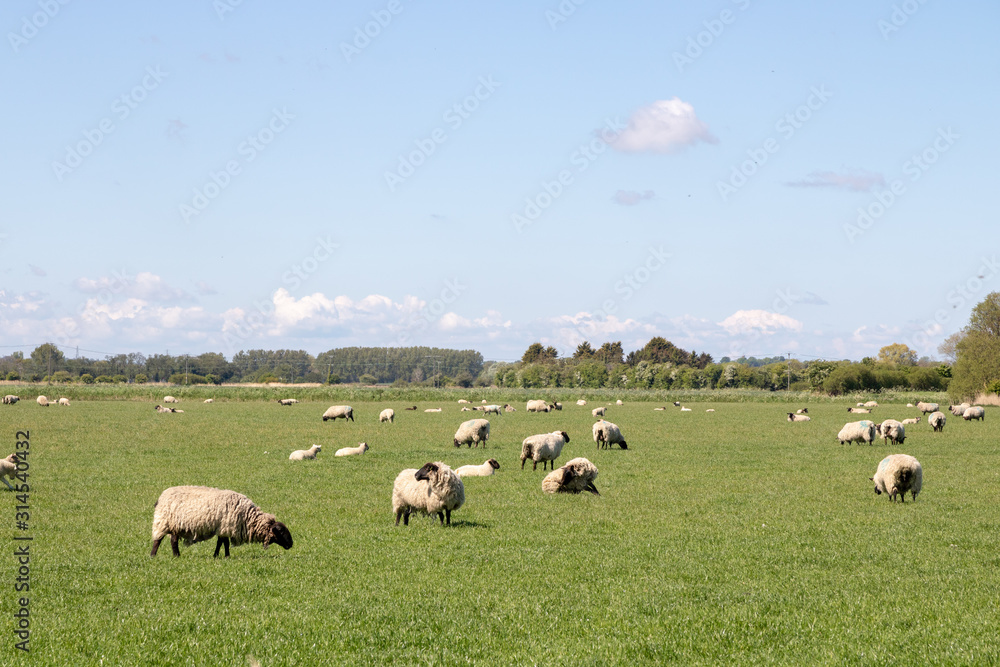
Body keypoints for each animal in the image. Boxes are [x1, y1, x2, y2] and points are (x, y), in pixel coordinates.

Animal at [150, 485, 293, 558]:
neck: (247, 516)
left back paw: (176, 555)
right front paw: (226, 556)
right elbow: (225, 543)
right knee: (158, 540)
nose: (291, 544)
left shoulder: (222, 528)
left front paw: (216, 555)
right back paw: (154, 555)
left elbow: (220, 542)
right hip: (163, 521)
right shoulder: (225, 526)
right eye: (281, 531)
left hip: (176, 525)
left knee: (173, 540)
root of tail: (161, 497)